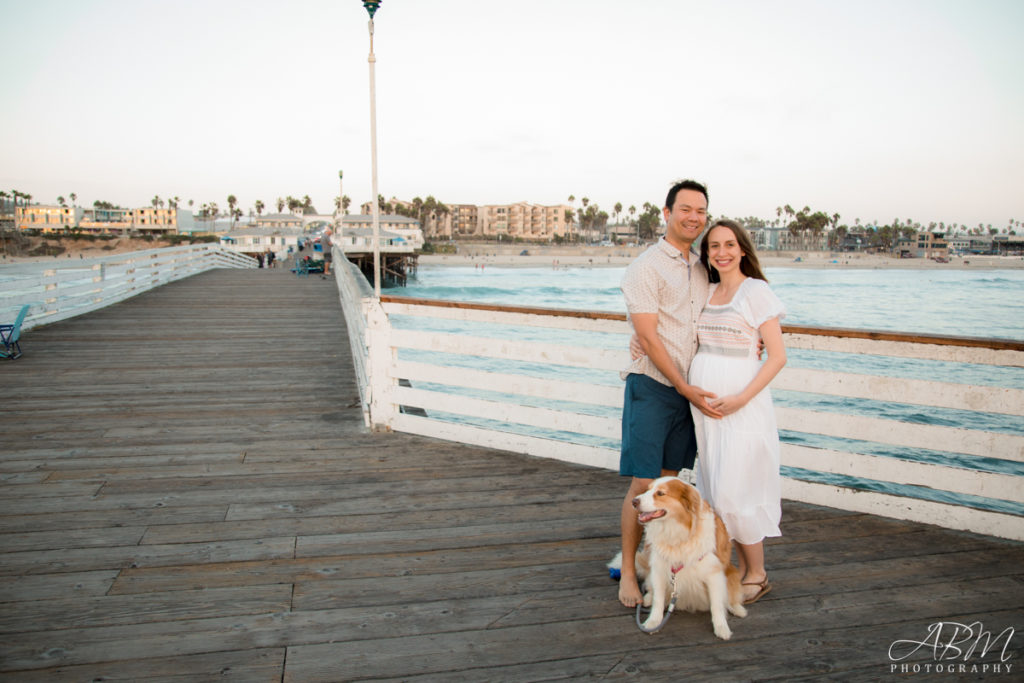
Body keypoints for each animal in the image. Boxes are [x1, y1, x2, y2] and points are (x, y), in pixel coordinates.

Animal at [606, 479, 745, 638]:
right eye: (648, 489)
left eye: (660, 493)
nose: (634, 501)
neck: (675, 532)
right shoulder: (659, 569)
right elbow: (658, 600)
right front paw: (653, 622)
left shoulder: (713, 573)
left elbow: (717, 604)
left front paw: (722, 628)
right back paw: (647, 599)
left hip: (732, 574)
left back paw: (737, 608)